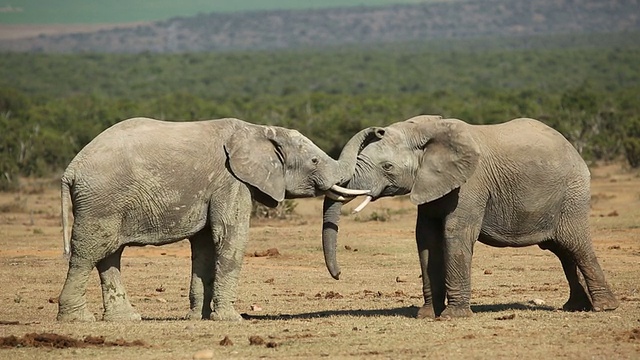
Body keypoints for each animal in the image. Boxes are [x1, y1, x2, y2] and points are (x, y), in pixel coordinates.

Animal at [57, 116, 368, 322]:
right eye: (314, 162)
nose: (339, 275)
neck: (258, 130)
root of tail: (71, 168)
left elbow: (205, 245)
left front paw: (201, 318)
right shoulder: (230, 181)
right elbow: (229, 236)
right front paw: (231, 319)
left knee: (110, 254)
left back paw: (126, 319)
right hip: (102, 199)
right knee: (89, 252)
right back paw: (78, 319)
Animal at [324, 114, 620, 318]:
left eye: (387, 166)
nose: (338, 275)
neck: (425, 129)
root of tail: (572, 148)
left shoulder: (470, 184)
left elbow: (455, 234)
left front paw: (452, 317)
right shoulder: (431, 185)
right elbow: (426, 239)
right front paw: (427, 316)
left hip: (572, 194)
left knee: (575, 244)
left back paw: (604, 308)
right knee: (562, 251)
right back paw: (575, 307)